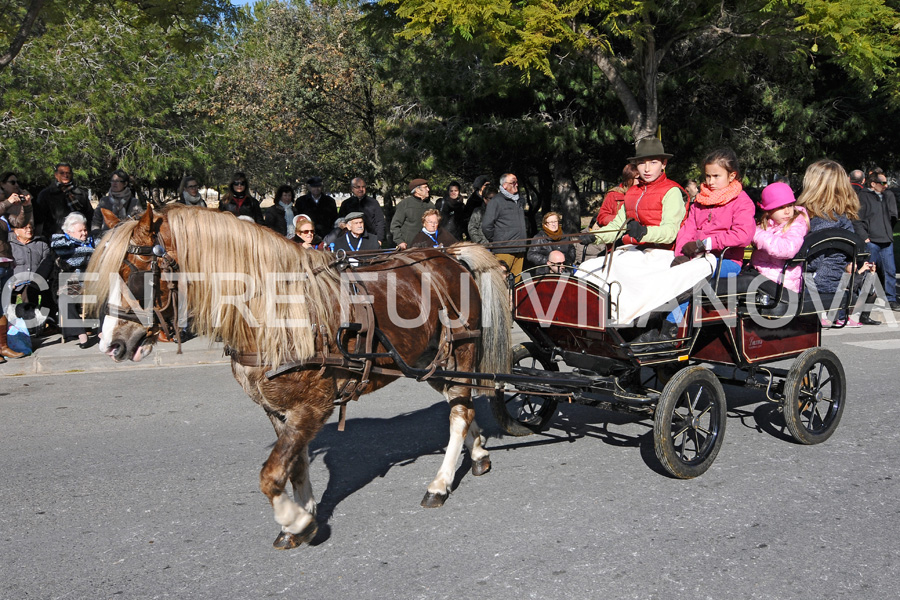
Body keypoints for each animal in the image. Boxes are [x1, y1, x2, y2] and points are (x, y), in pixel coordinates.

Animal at [88, 205, 512, 548]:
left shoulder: (311, 407)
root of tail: (446, 254)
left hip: (461, 350)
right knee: (461, 404)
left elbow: (271, 474)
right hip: (429, 362)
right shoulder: (279, 411)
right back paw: (478, 453)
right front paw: (303, 514)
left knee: (459, 413)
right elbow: (296, 464)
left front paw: (296, 520)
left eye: (134, 273)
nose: (110, 344)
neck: (274, 314)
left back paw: (439, 483)